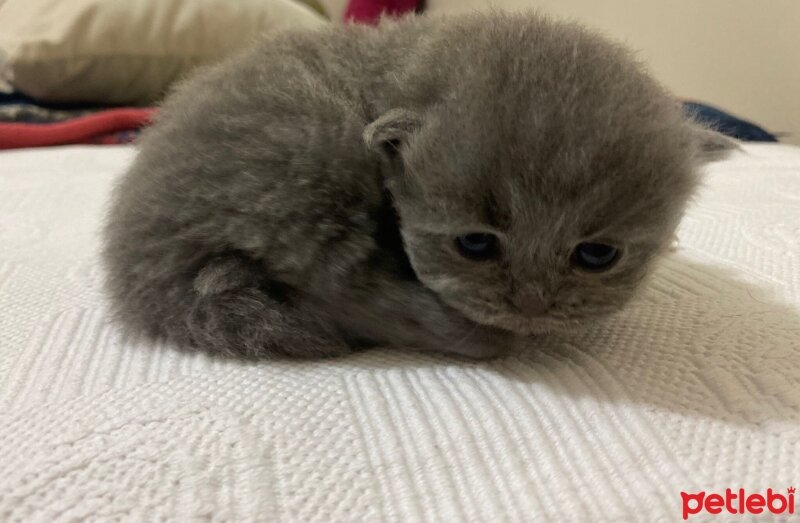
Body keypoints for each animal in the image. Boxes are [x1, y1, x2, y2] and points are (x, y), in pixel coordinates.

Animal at [103, 11, 736, 360]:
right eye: (475, 244)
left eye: (597, 255)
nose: (530, 306)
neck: (403, 64)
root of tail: (142, 276)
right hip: (317, 153)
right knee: (343, 292)